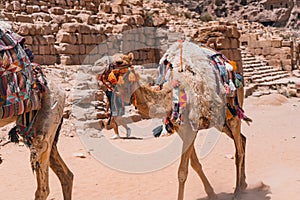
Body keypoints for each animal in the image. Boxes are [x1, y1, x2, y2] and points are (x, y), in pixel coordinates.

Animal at [99, 41, 250, 199]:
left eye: (119, 62)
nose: (101, 73)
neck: (169, 96)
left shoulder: (190, 128)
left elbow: (182, 171)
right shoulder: (181, 129)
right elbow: (194, 164)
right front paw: (212, 194)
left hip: (233, 112)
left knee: (238, 151)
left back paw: (237, 191)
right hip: (220, 120)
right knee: (243, 140)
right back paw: (243, 184)